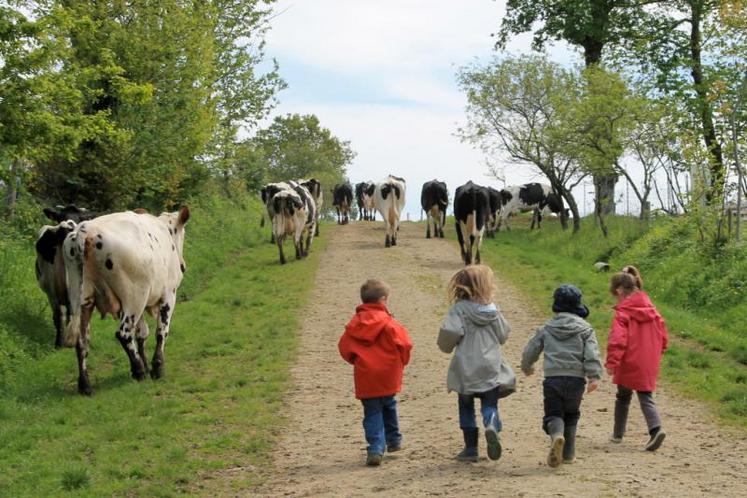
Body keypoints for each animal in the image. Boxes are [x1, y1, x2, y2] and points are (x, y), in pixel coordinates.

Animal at [35, 204, 95, 348]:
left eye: (80, 219)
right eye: (60, 217)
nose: (67, 227)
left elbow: (72, 313)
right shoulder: (51, 289)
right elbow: (59, 315)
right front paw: (59, 343)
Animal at [62, 206, 190, 392]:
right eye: (182, 233)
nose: (183, 266)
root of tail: (85, 230)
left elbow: (142, 333)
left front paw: (148, 365)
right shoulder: (168, 294)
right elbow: (161, 331)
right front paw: (157, 368)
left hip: (82, 300)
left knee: (82, 342)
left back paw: (85, 385)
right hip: (134, 297)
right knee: (123, 333)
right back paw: (139, 371)